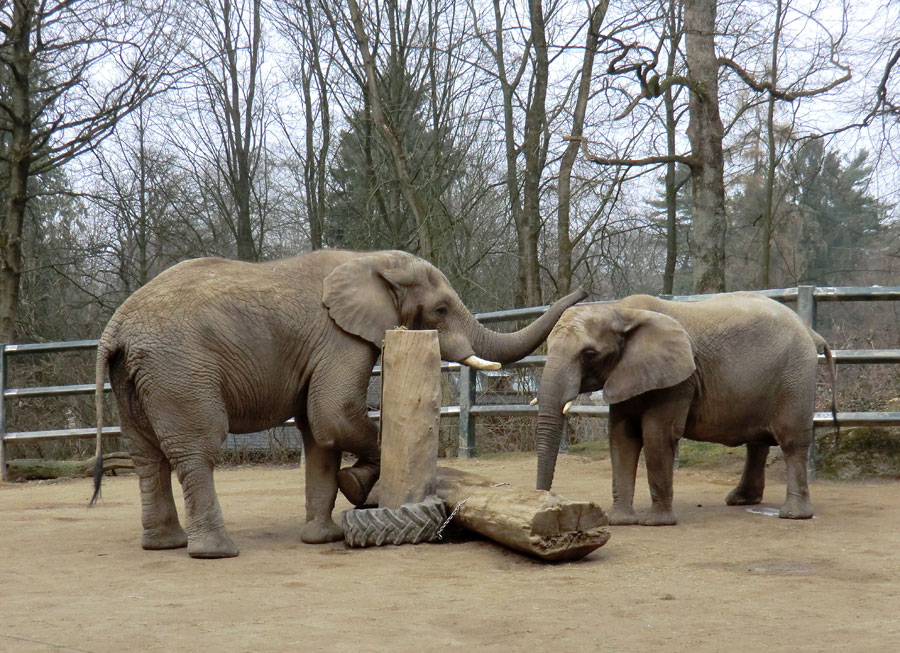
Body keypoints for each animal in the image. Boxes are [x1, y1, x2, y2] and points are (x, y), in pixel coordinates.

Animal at [91, 250, 584, 556]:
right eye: (441, 310)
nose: (581, 292)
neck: (370, 259)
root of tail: (115, 329)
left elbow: (318, 434)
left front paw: (323, 536)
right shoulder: (339, 337)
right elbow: (334, 413)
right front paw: (360, 483)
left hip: (135, 376)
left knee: (146, 455)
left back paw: (164, 545)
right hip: (179, 368)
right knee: (197, 449)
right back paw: (216, 553)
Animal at [536, 292, 836, 528]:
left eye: (589, 354)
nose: (546, 502)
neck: (620, 311)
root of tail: (809, 329)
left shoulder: (678, 379)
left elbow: (656, 434)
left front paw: (656, 523)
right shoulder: (627, 373)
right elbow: (622, 437)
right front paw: (619, 521)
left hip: (795, 376)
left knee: (792, 441)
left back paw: (793, 515)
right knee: (757, 442)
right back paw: (740, 500)